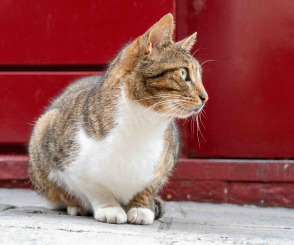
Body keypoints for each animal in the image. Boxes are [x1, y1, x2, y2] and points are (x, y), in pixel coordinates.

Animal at [28, 12, 209, 224]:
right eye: (183, 73)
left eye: (200, 75)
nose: (205, 97)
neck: (142, 123)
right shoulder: (68, 163)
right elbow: (94, 187)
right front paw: (109, 209)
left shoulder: (164, 163)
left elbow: (148, 185)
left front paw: (141, 208)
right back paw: (76, 207)